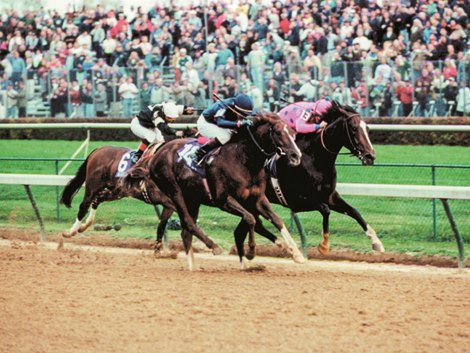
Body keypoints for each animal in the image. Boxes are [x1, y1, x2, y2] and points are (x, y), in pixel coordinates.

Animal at [129, 111, 304, 268]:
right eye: (278, 133)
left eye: (293, 133)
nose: (296, 156)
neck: (243, 160)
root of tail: (155, 156)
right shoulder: (223, 200)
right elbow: (250, 219)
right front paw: (251, 252)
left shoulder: (257, 198)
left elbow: (276, 220)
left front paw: (296, 253)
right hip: (175, 192)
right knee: (188, 223)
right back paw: (214, 247)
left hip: (193, 198)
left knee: (186, 232)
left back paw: (194, 267)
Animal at [233, 100, 384, 260]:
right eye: (354, 129)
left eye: (367, 128)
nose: (370, 156)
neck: (315, 158)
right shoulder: (297, 201)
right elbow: (326, 210)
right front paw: (324, 246)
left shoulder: (329, 196)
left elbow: (354, 211)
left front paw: (377, 243)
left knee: (248, 226)